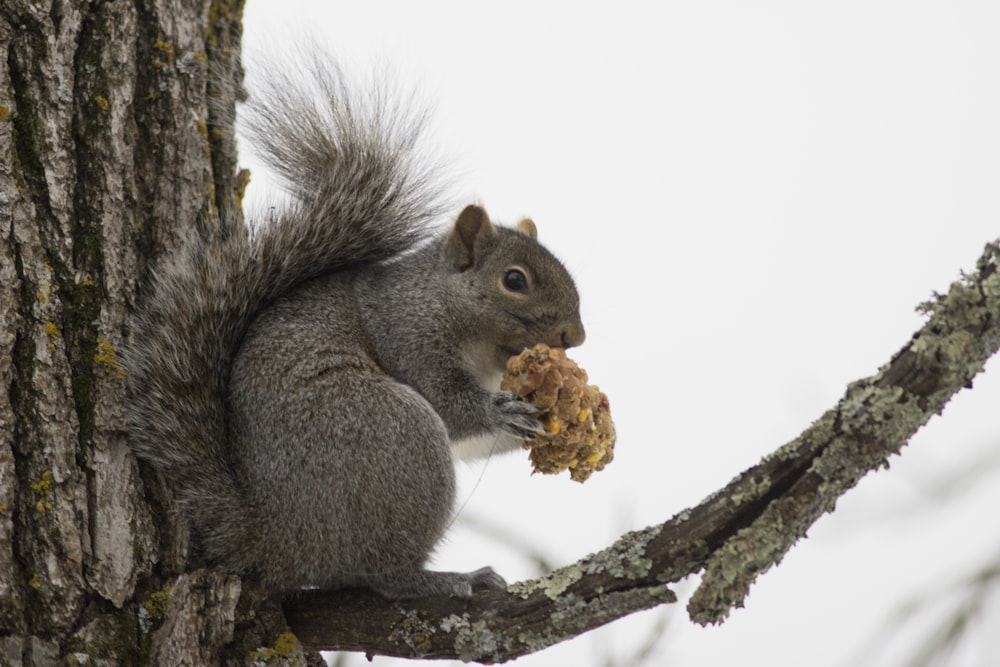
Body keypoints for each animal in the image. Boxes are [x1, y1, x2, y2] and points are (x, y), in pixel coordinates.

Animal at [123, 57, 584, 600]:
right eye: (514, 280)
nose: (576, 337)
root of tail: (281, 543)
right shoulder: (407, 335)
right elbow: (450, 404)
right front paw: (500, 410)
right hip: (392, 433)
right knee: (385, 576)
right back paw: (447, 579)